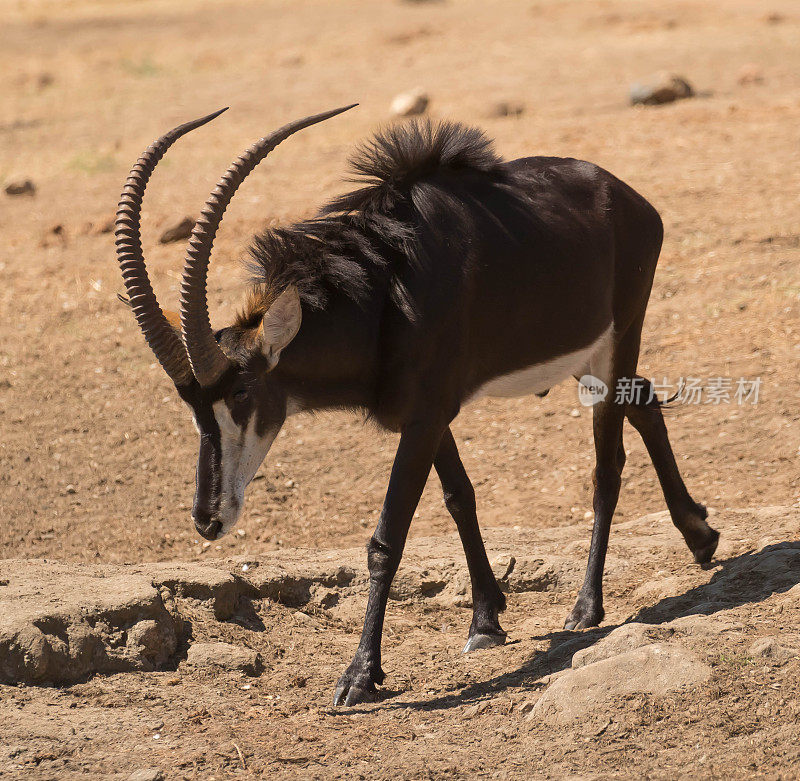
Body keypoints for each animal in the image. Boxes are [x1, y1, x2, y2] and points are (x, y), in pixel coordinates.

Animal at [115, 100, 720, 704]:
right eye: (190, 404)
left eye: (241, 391)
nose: (208, 519)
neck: (384, 296)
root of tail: (631, 199)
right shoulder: (429, 413)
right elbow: (458, 497)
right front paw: (485, 621)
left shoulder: (426, 416)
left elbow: (387, 538)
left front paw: (360, 675)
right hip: (588, 358)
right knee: (644, 401)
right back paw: (700, 535)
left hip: (619, 339)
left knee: (607, 465)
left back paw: (587, 607)